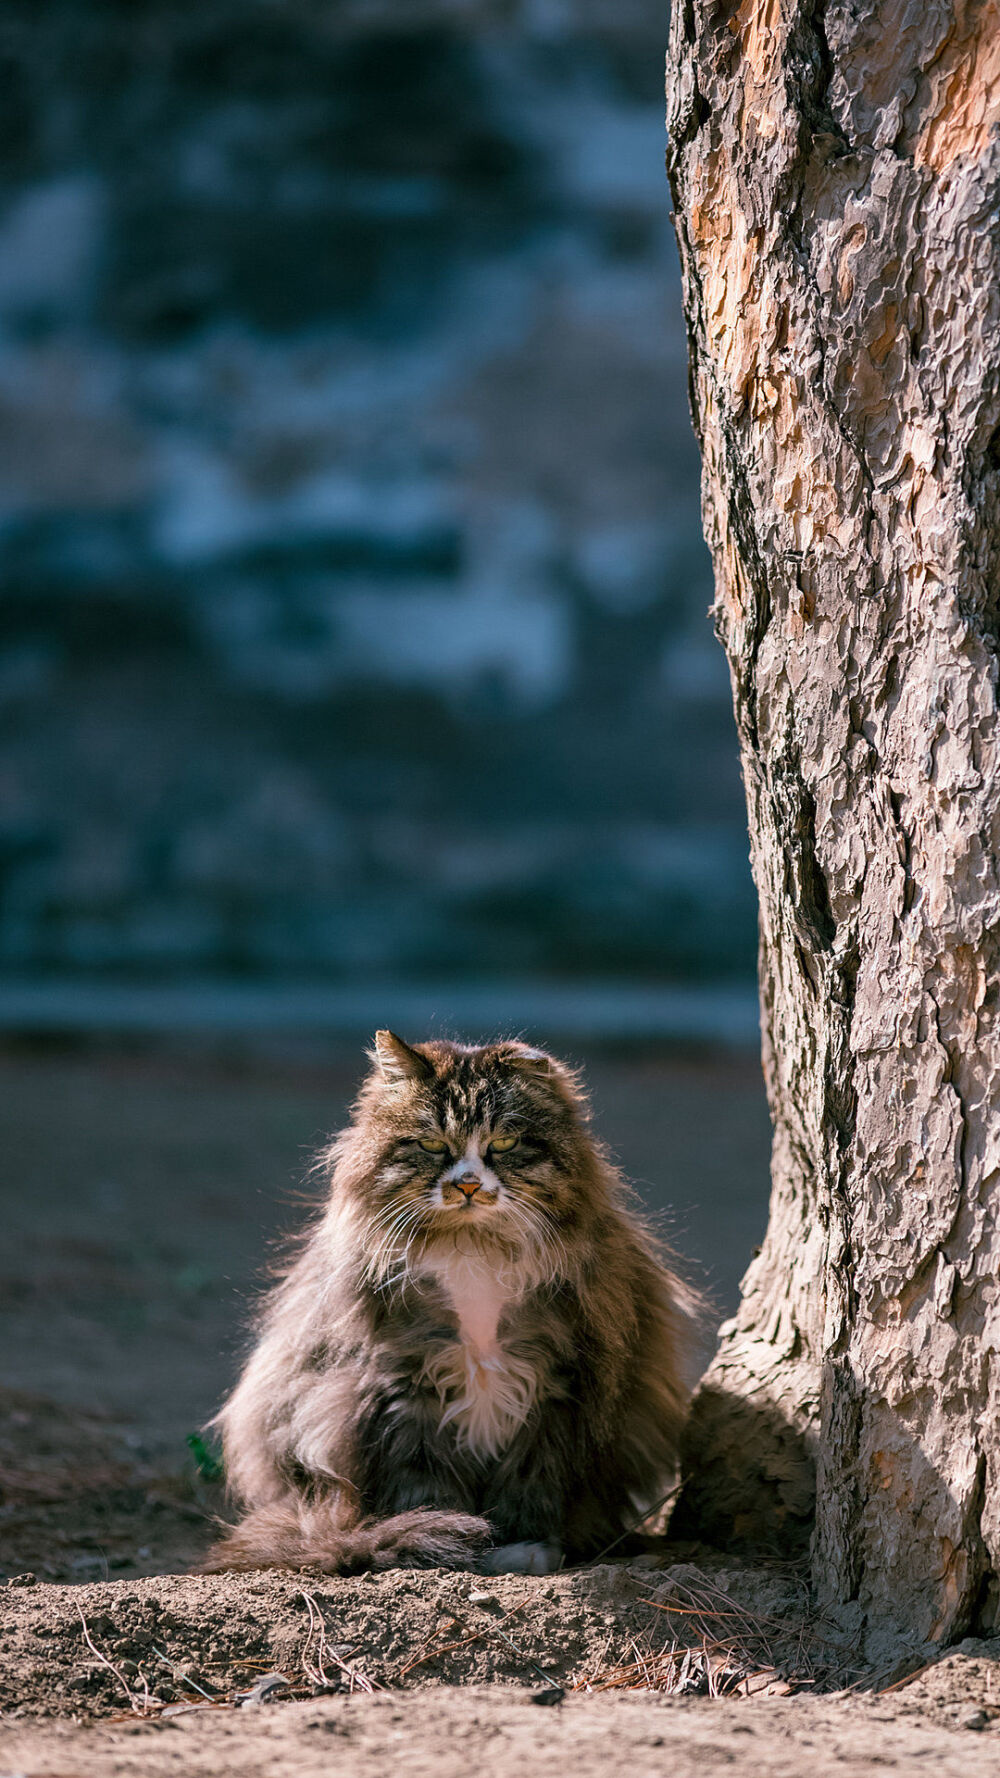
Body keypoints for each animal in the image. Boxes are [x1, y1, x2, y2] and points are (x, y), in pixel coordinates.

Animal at [198, 1038, 690, 1578]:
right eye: (433, 1146)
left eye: (503, 1143)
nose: (468, 1185)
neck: (472, 1247)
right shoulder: (406, 1383)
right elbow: (425, 1480)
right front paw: (443, 1536)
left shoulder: (555, 1381)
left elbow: (532, 1477)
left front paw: (525, 1546)